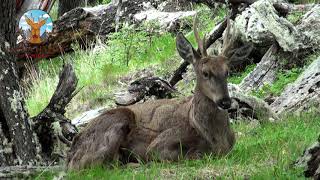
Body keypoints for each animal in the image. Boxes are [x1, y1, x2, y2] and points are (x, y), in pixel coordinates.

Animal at [67, 16, 238, 169]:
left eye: (227, 71)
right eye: (205, 73)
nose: (225, 101)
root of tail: (70, 155)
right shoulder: (160, 144)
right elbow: (190, 155)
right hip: (117, 121)